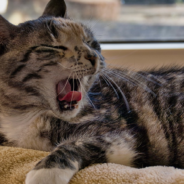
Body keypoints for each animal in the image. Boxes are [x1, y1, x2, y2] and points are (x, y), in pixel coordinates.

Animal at [0, 0, 183, 183]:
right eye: (54, 47)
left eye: (91, 42)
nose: (93, 55)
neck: (22, 116)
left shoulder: (122, 136)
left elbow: (76, 144)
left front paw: (46, 172)